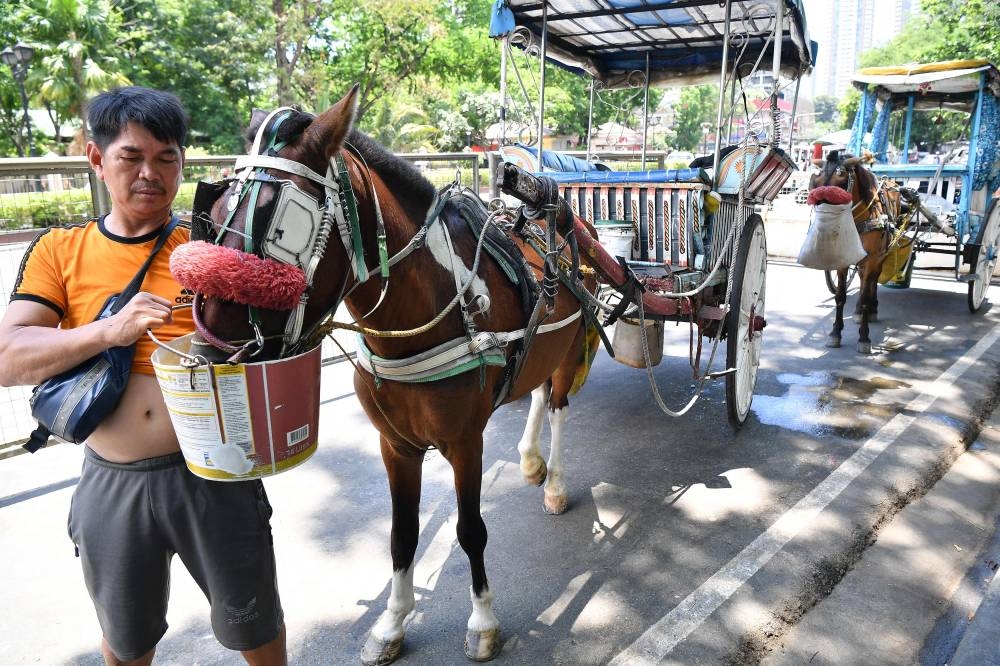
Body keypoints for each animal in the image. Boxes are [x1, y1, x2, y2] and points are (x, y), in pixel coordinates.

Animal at [174, 86, 601, 664]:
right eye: (212, 212)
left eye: (282, 227)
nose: (208, 355)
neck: (435, 303)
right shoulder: (395, 444)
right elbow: (401, 534)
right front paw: (391, 624)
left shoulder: (465, 441)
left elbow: (470, 530)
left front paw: (483, 622)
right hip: (542, 350)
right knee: (534, 393)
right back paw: (531, 461)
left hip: (569, 350)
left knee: (556, 407)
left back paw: (553, 480)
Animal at [809, 151, 897, 353]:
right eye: (817, 181)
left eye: (840, 181)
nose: (823, 222)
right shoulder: (843, 260)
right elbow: (840, 297)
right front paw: (835, 333)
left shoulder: (871, 259)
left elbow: (864, 295)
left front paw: (864, 337)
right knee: (865, 279)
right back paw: (858, 311)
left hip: (882, 255)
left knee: (873, 278)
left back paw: (872, 309)